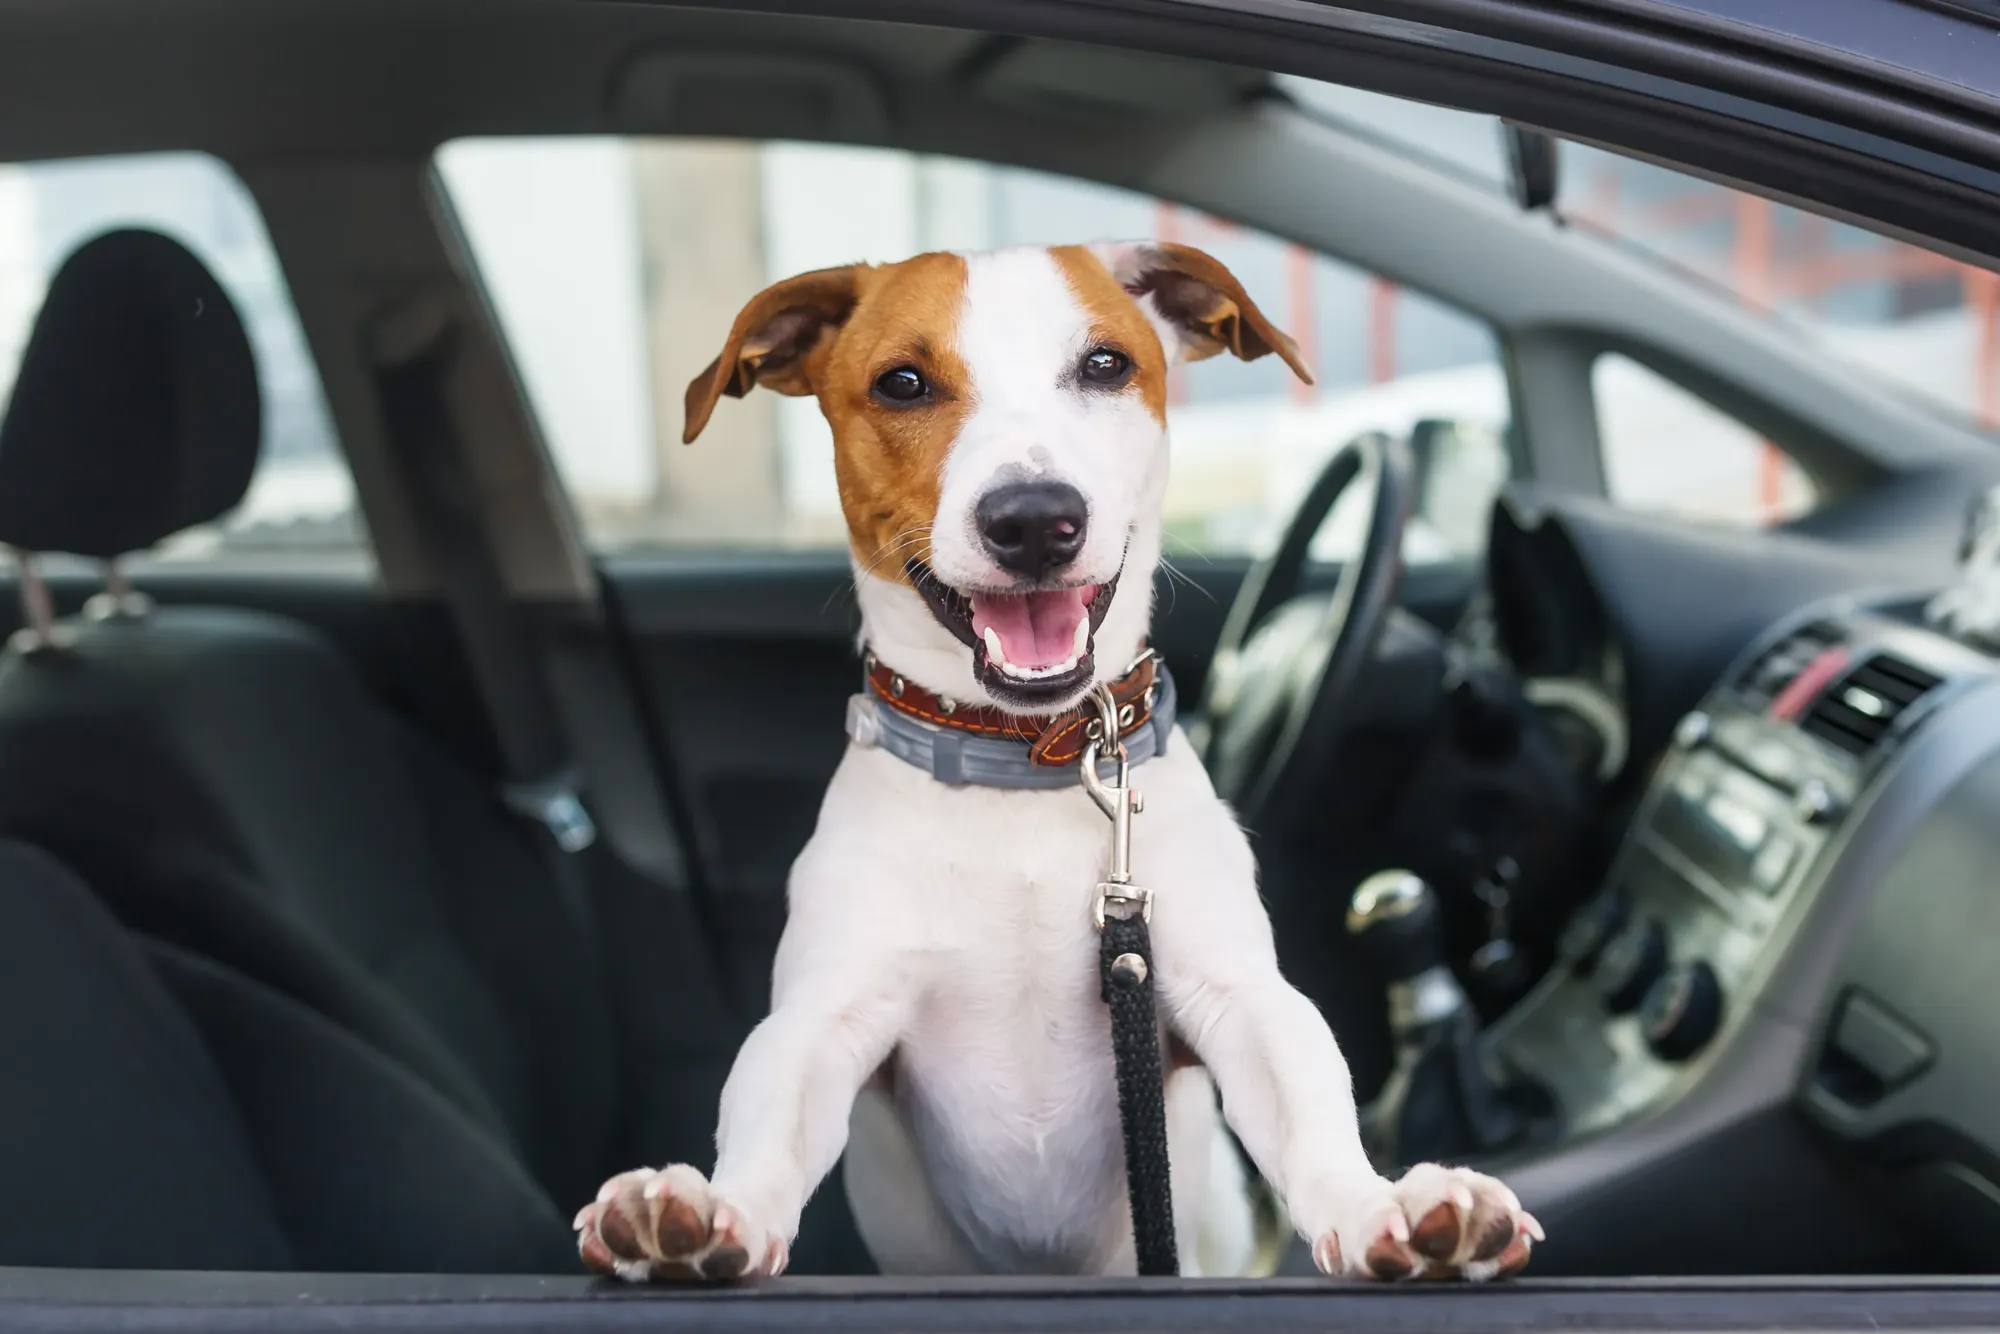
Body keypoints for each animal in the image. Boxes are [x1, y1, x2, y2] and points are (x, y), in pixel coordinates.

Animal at [572, 240, 1536, 1280]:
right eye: (902, 383)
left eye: (1106, 365)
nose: (1034, 518)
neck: (1022, 762)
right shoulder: (823, 1020)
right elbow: (767, 1120)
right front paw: (712, 1215)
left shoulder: (1234, 996)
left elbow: (1310, 1101)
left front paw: (1383, 1207)